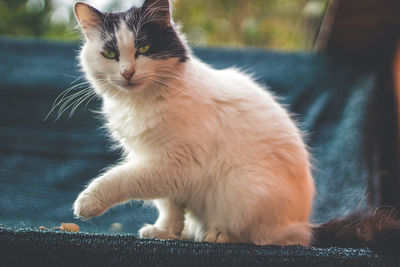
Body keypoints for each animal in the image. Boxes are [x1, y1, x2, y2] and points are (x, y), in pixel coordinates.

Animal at [71, 0, 400, 251]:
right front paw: (165, 232)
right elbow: (169, 206)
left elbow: (121, 179)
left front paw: (86, 203)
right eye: (111, 54)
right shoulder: (158, 164)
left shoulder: (171, 163)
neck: (139, 103)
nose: (127, 73)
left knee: (265, 239)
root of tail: (305, 226)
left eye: (144, 48)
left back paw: (216, 235)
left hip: (243, 190)